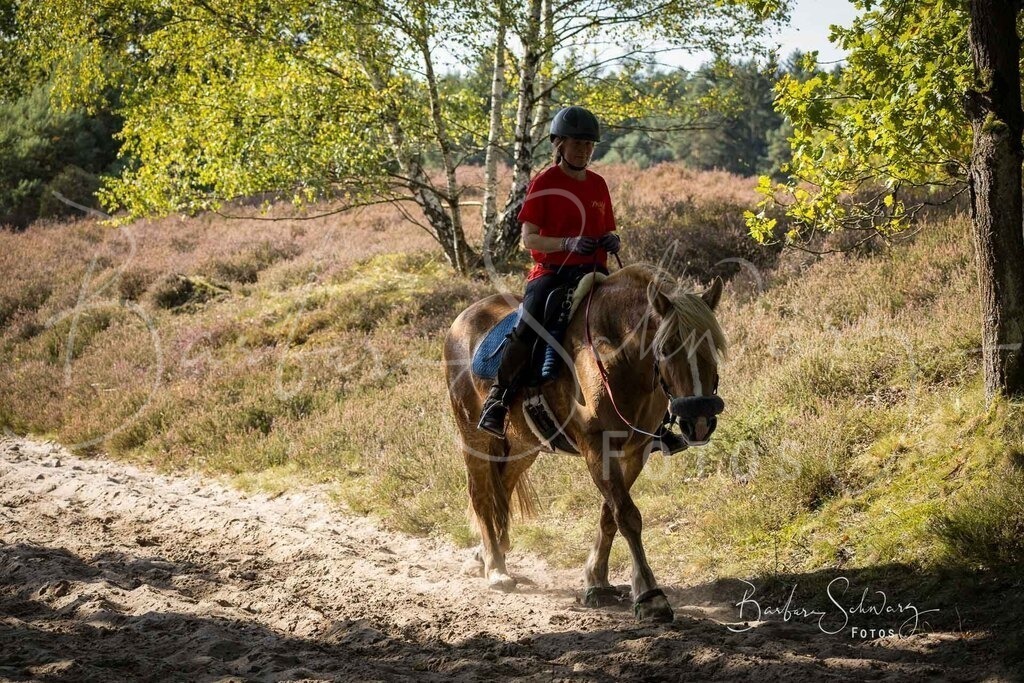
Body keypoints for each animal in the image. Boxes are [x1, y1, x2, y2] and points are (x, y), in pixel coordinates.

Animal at [442, 263, 727, 623]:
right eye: (666, 347)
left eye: (713, 346)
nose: (699, 420)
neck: (617, 356)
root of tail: (462, 320)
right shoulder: (596, 447)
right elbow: (627, 515)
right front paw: (650, 596)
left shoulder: (636, 452)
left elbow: (610, 513)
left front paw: (597, 580)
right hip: (474, 437)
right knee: (481, 494)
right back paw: (496, 569)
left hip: (523, 444)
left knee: (502, 487)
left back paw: (490, 552)